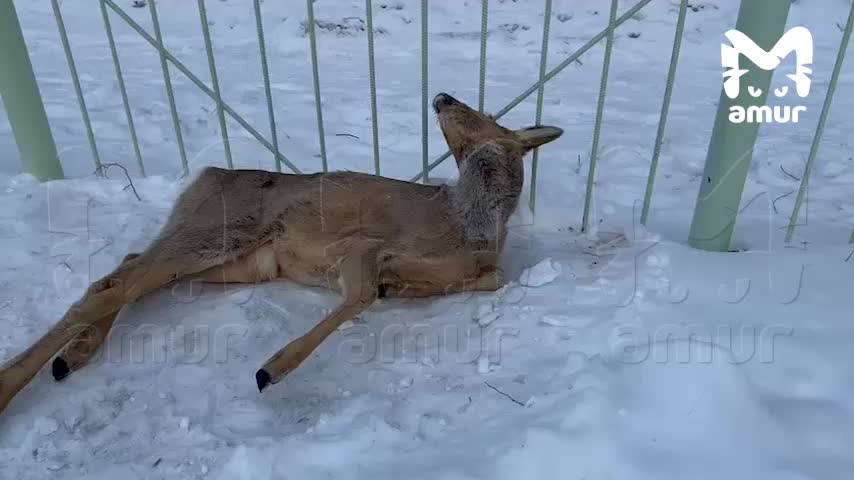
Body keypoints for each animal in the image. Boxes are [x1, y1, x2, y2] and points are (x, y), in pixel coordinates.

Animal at [0, 94, 564, 416]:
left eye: (484, 114)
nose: (441, 95)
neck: (471, 227)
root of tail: (206, 174)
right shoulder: (361, 244)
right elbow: (359, 295)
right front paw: (271, 368)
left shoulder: (478, 269)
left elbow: (485, 280)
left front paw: (404, 285)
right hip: (220, 233)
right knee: (116, 280)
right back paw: (17, 381)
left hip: (238, 262)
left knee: (128, 269)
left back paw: (73, 355)